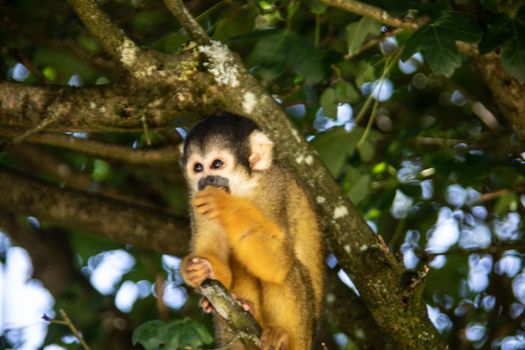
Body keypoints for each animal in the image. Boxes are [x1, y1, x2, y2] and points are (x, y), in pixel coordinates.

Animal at [178, 113, 322, 348]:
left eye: (217, 164)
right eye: (197, 168)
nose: (205, 180)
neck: (243, 188)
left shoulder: (275, 188)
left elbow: (278, 261)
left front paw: (223, 205)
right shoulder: (195, 200)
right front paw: (195, 269)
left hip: (304, 337)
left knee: (287, 268)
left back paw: (282, 337)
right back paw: (245, 307)